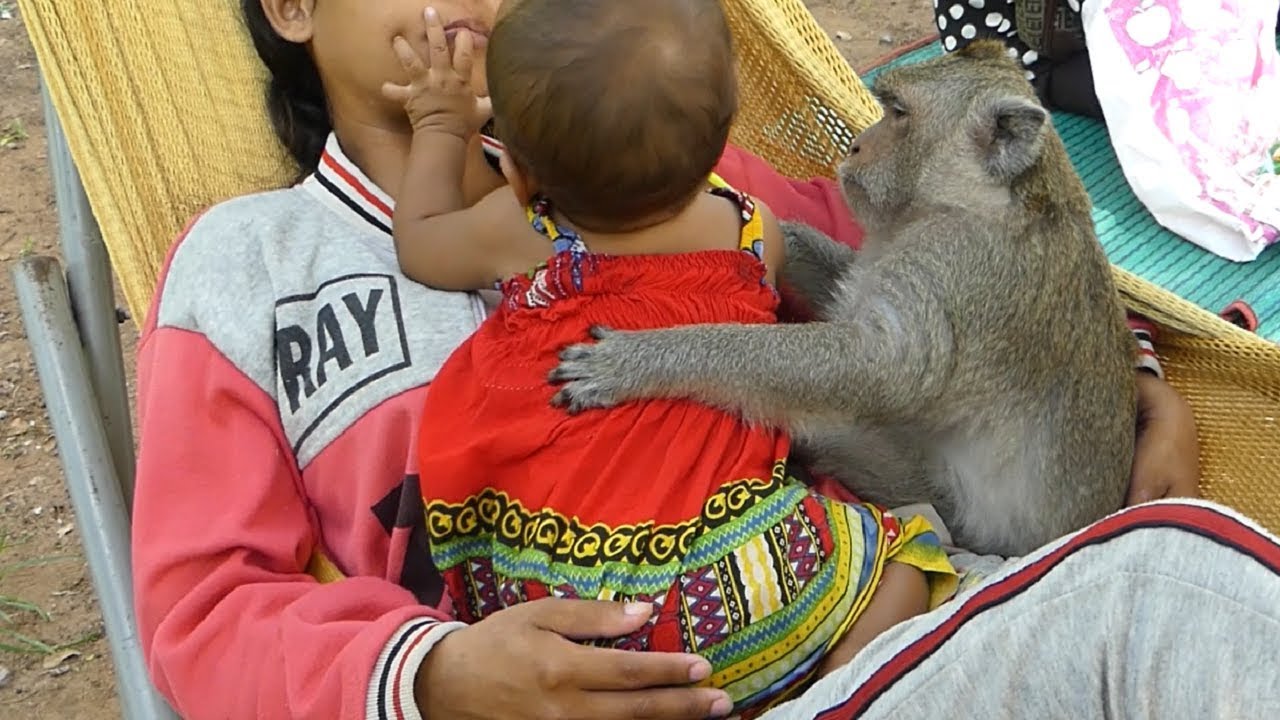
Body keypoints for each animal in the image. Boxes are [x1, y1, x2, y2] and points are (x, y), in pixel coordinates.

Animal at [546, 39, 1137, 557]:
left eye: (897, 113)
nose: (855, 145)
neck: (973, 200)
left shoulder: (954, 267)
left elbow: (877, 368)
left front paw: (639, 361)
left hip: (942, 501)